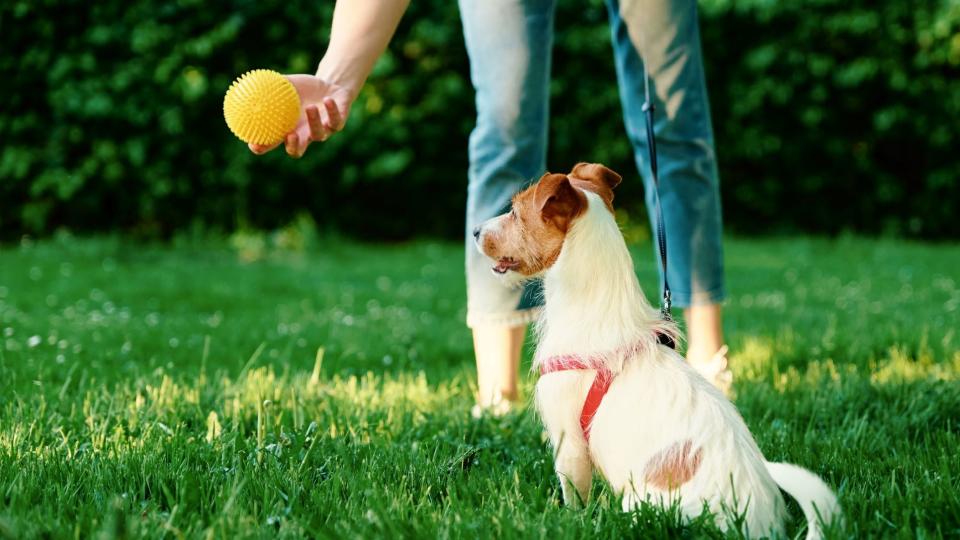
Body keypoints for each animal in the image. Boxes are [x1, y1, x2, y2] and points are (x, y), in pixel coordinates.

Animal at [472, 165, 840, 540]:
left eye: (515, 212)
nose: (474, 231)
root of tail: (759, 529)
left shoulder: (568, 441)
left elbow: (574, 494)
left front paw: (570, 522)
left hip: (638, 505)